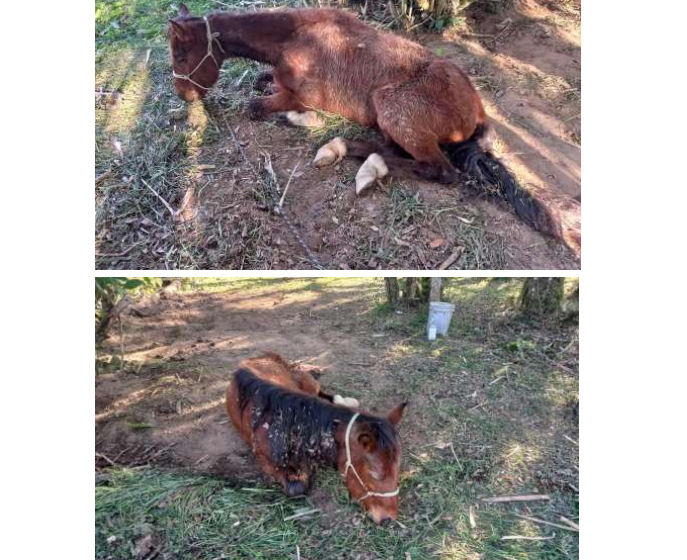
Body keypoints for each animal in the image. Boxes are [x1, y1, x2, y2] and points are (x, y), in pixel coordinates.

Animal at [168, 4, 581, 257]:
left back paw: (367, 166)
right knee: (390, 147)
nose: (183, 95)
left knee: (437, 169)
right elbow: (262, 83)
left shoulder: (301, 96)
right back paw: (340, 150)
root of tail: (477, 111)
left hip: (392, 108)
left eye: (181, 54)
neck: (295, 38)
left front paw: (300, 119)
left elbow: (260, 106)